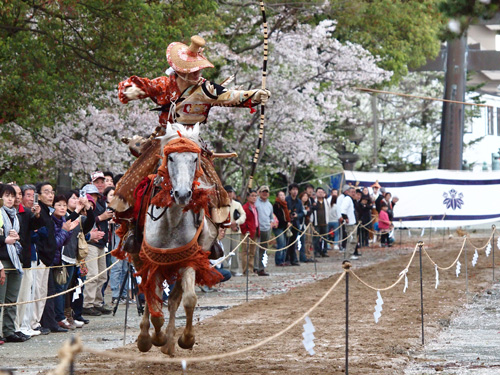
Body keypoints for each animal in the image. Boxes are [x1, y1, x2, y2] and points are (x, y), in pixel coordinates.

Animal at [133, 123, 219, 356]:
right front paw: (154, 337)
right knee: (148, 294)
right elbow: (154, 306)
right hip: (139, 258)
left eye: (195, 159)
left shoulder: (188, 261)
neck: (172, 220)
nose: (182, 194)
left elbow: (188, 300)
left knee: (173, 300)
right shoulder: (153, 261)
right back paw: (146, 338)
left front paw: (185, 339)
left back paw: (169, 343)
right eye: (170, 158)